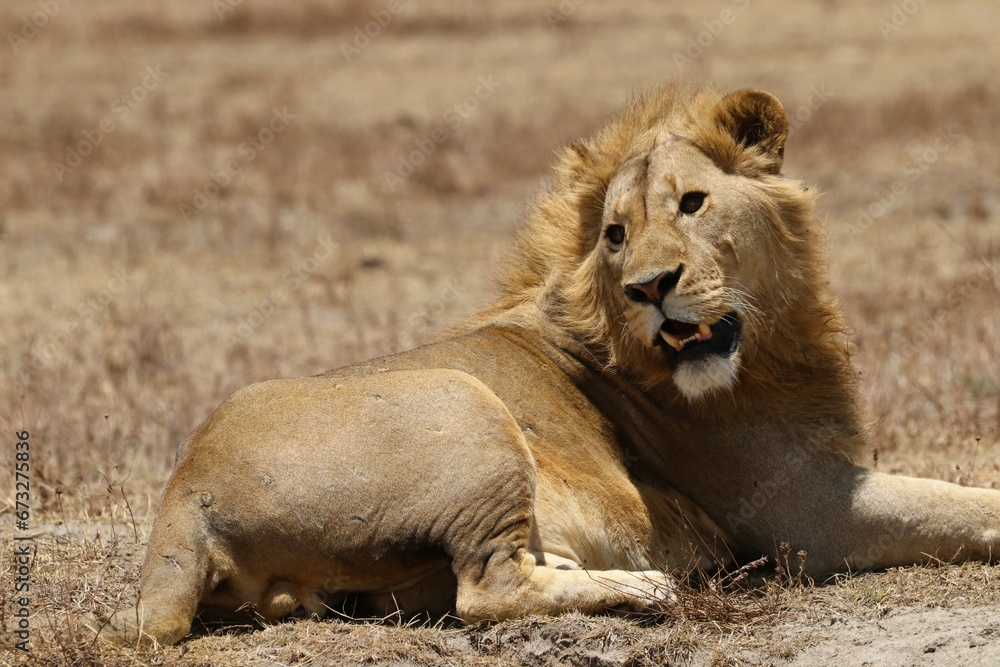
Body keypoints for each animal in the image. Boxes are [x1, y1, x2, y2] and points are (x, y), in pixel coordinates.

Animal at [100, 85, 1000, 646]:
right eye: (615, 235)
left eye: (692, 203)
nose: (649, 288)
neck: (770, 344)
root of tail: (183, 496)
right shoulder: (807, 512)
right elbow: (969, 505)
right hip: (462, 400)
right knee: (485, 590)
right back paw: (646, 588)